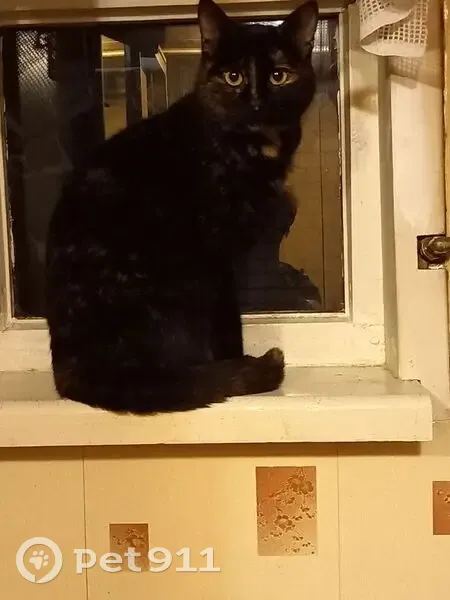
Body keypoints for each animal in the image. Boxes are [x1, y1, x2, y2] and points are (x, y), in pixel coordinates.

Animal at [45, 0, 319, 414]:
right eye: (234, 77)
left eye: (278, 75)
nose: (255, 102)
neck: (247, 150)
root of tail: (72, 373)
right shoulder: (217, 257)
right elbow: (228, 321)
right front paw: (235, 363)